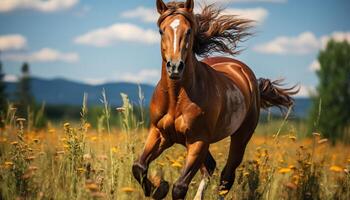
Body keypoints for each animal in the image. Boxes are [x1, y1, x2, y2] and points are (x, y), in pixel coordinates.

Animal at [133, 0, 296, 199]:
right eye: (161, 31)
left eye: (189, 31)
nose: (175, 67)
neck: (176, 98)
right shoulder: (159, 133)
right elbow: (139, 167)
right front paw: (159, 188)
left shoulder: (198, 141)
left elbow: (180, 187)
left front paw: (162, 187)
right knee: (210, 167)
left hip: (240, 137)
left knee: (226, 177)